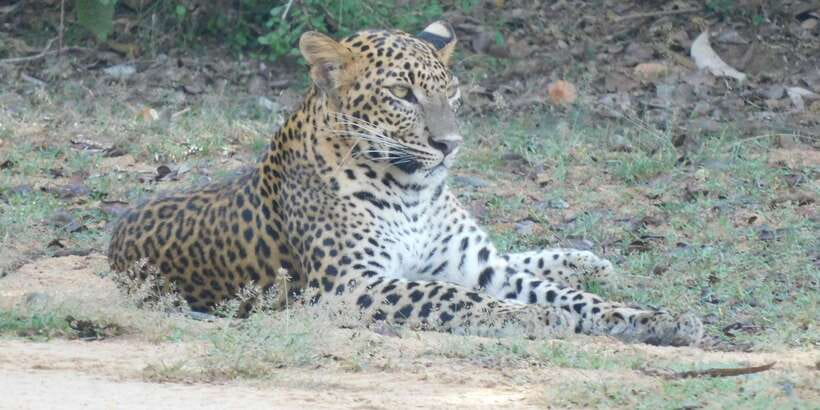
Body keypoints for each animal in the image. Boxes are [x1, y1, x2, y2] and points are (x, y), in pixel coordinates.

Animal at [108, 21, 703, 346]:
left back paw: (586, 259)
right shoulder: (351, 285)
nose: (450, 144)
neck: (411, 192)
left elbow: (574, 296)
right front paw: (538, 317)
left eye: (452, 92)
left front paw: (656, 318)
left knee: (522, 256)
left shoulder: (476, 265)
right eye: (401, 94)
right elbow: (452, 296)